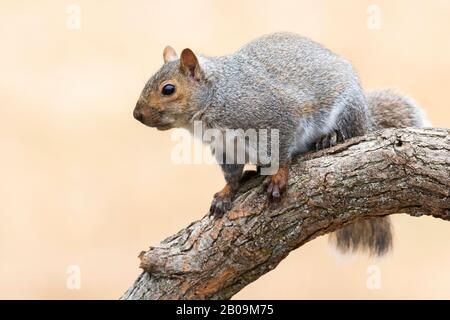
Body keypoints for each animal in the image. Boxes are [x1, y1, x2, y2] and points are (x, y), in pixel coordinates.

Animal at [134, 32, 428, 256]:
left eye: (168, 89)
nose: (137, 115)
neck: (217, 96)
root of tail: (367, 118)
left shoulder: (278, 117)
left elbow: (282, 152)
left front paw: (277, 176)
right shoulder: (226, 148)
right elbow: (231, 175)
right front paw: (226, 193)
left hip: (348, 112)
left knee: (348, 131)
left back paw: (329, 137)